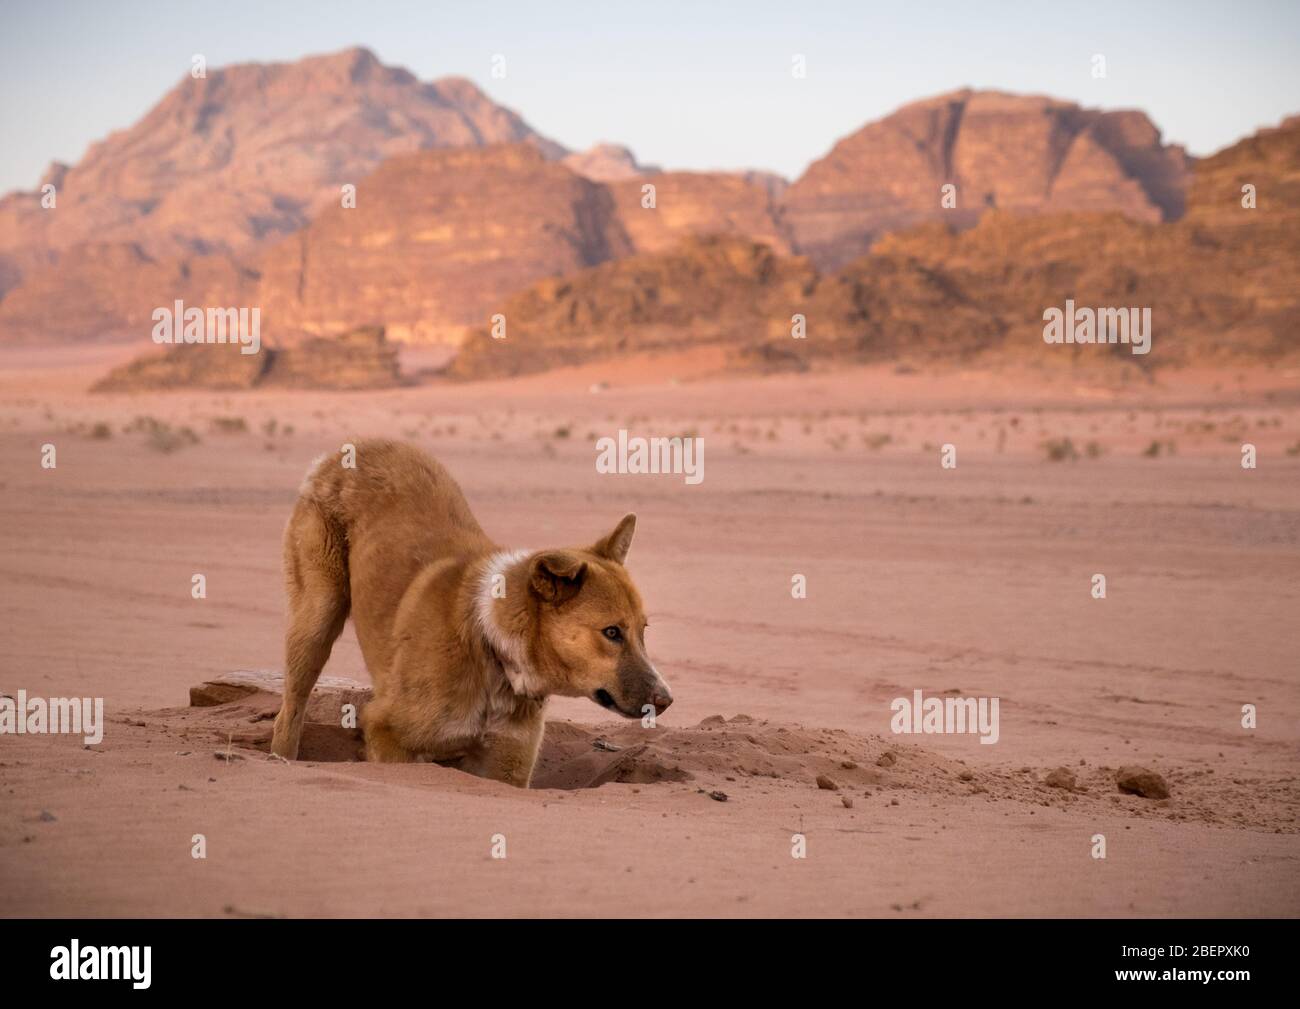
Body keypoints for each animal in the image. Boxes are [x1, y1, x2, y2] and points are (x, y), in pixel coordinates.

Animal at [265, 436, 670, 785]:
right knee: (291, 709)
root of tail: (352, 447)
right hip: (317, 619)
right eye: (611, 632)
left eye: (643, 631)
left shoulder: (505, 766)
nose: (666, 700)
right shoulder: (386, 733)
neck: (492, 646)